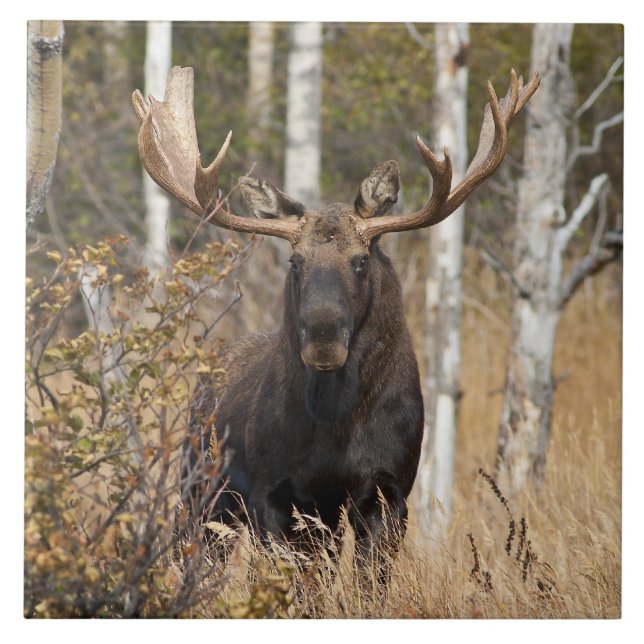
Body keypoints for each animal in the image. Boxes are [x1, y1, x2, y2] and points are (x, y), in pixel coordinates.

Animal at [132, 66, 539, 579]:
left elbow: (367, 584)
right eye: (295, 262)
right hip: (201, 492)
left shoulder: (389, 491)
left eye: (361, 261)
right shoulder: (277, 495)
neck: (337, 428)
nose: (323, 339)